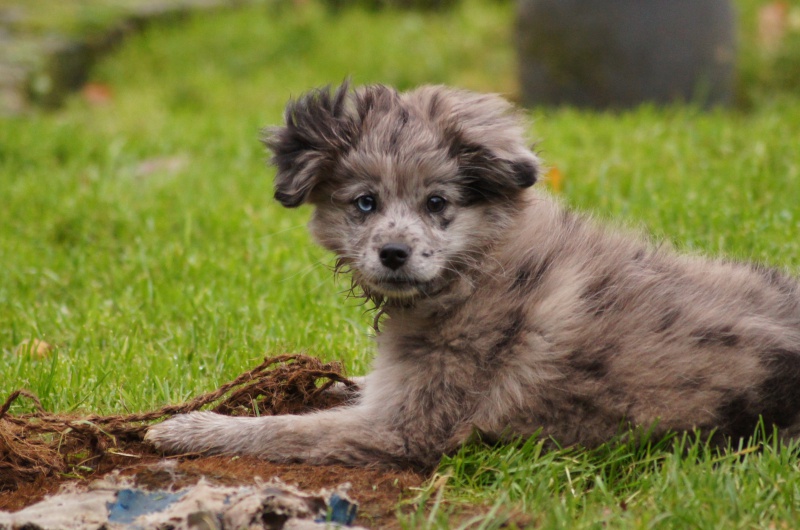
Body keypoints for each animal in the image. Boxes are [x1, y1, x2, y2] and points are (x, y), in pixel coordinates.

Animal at [145, 81, 800, 466]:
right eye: (365, 203)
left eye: (437, 203)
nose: (394, 253)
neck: (474, 269)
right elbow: (347, 388)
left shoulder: (403, 430)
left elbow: (284, 431)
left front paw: (192, 428)